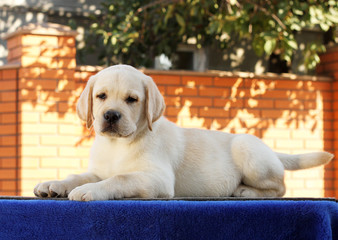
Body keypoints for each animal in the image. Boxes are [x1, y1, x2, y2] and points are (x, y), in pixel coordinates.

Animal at [33, 64, 332, 201]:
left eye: (132, 100)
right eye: (101, 96)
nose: (111, 116)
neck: (119, 144)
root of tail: (271, 151)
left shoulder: (158, 179)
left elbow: (120, 178)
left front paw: (89, 191)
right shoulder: (98, 169)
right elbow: (78, 175)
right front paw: (54, 184)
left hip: (248, 152)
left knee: (280, 187)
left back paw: (245, 190)